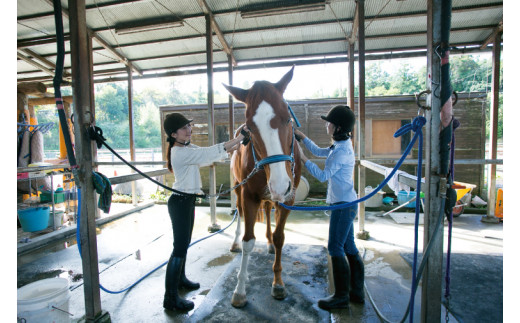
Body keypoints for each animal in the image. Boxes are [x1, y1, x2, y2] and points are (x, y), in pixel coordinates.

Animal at [222, 66, 300, 308]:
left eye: (288, 119)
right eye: (250, 128)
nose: (280, 184)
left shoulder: (288, 198)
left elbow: (280, 236)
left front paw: (278, 283)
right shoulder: (249, 196)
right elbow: (248, 241)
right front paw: (239, 290)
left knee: (267, 210)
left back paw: (269, 244)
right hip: (239, 189)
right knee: (239, 214)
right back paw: (235, 243)